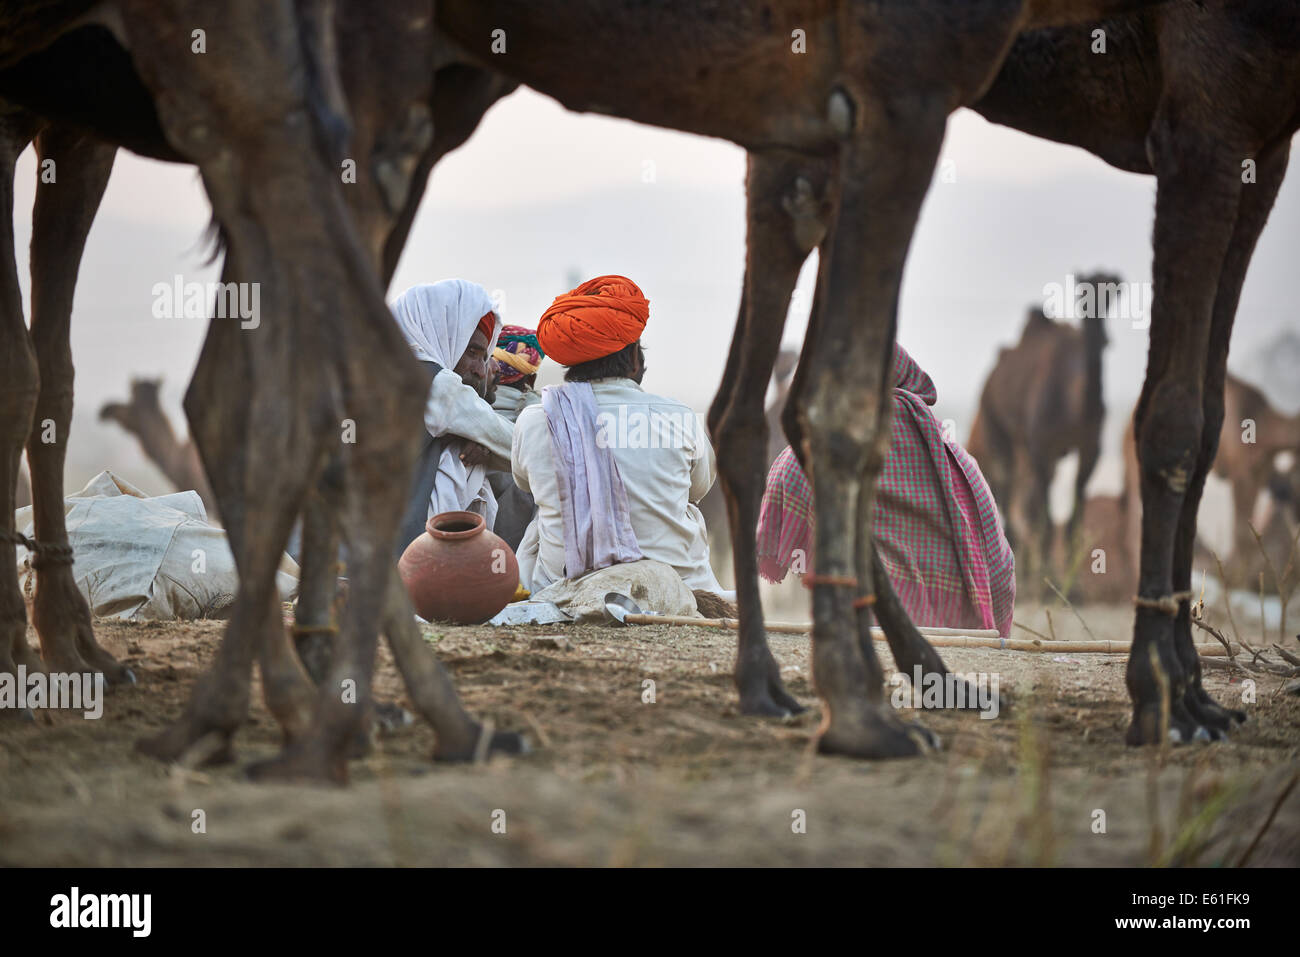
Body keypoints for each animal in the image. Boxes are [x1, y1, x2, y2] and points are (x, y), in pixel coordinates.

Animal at [967, 269, 1118, 595]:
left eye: (1116, 293)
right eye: (1081, 292)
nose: (1101, 336)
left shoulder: (1090, 447)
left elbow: (1073, 518)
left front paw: (1075, 588)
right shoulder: (1040, 447)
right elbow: (1047, 520)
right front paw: (1052, 585)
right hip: (994, 425)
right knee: (1009, 493)